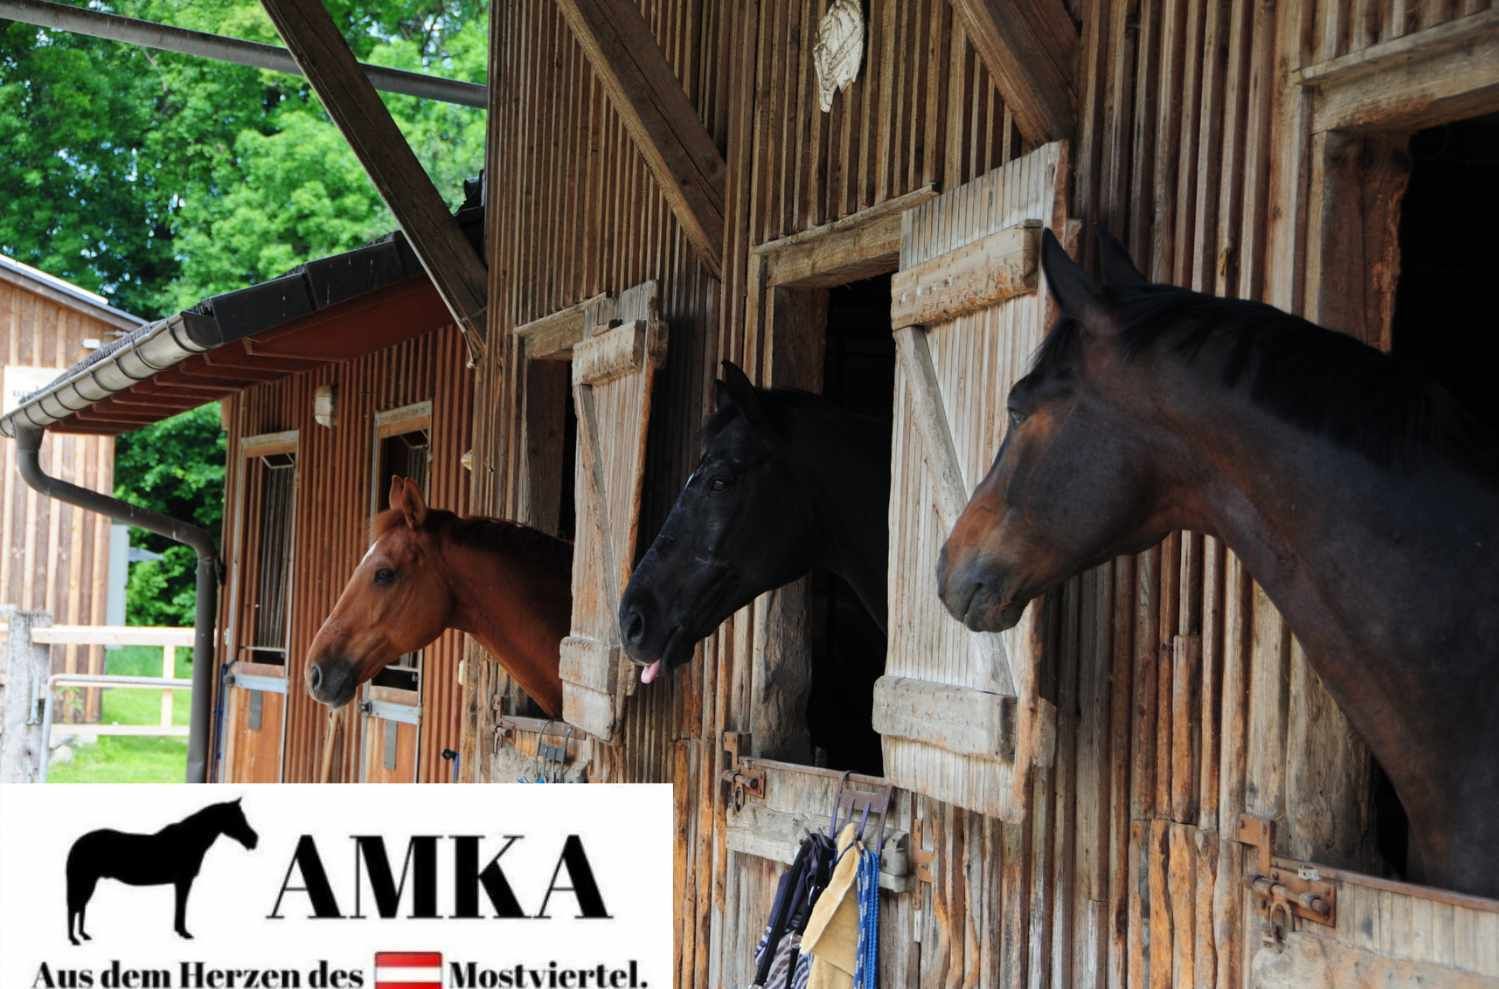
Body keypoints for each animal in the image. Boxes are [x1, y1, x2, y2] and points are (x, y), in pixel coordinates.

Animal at [66, 798, 258, 944]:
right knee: (74, 907)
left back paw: (83, 936)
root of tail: (77, 843)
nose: (254, 839)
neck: (189, 839)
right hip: (84, 881)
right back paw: (74, 940)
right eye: (238, 818)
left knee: (80, 907)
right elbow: (181, 907)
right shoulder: (184, 881)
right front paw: (184, 933)